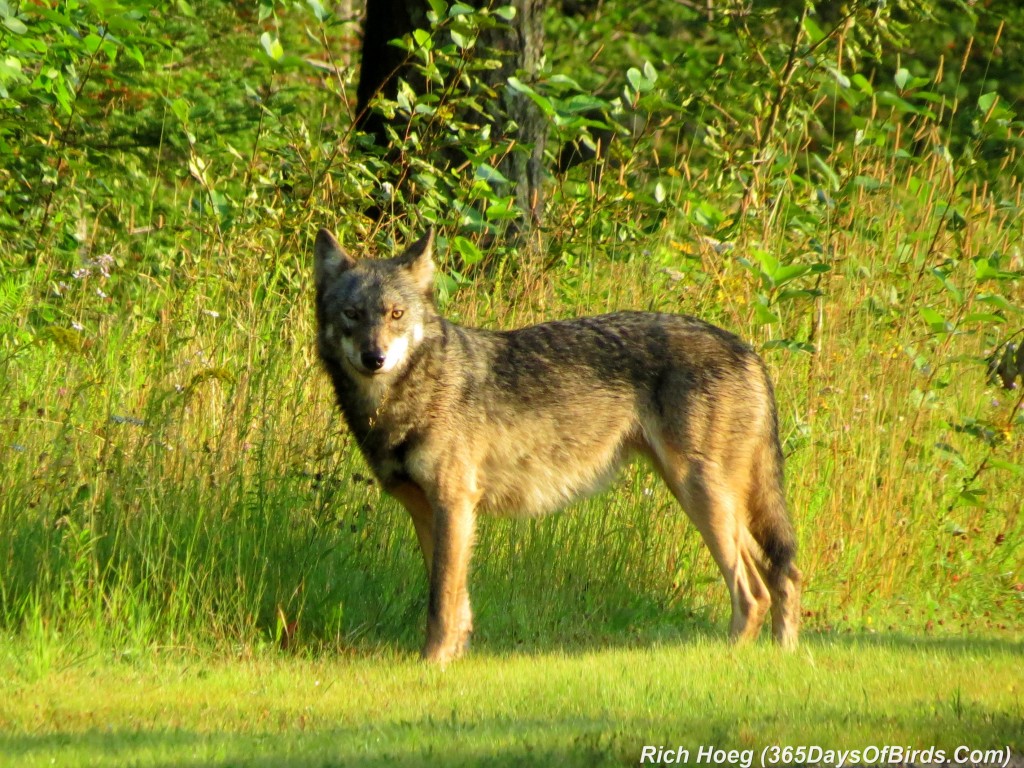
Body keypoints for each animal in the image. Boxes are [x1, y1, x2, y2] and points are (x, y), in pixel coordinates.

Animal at [311, 227, 798, 663]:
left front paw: (431, 665)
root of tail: (748, 350)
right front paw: (453, 658)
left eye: (395, 314)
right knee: (782, 569)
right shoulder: (428, 512)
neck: (410, 395)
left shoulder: (454, 504)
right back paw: (783, 653)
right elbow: (455, 600)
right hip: (706, 500)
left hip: (700, 496)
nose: (374, 358)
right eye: (353, 314)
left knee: (754, 591)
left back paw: (729, 660)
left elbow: (441, 602)